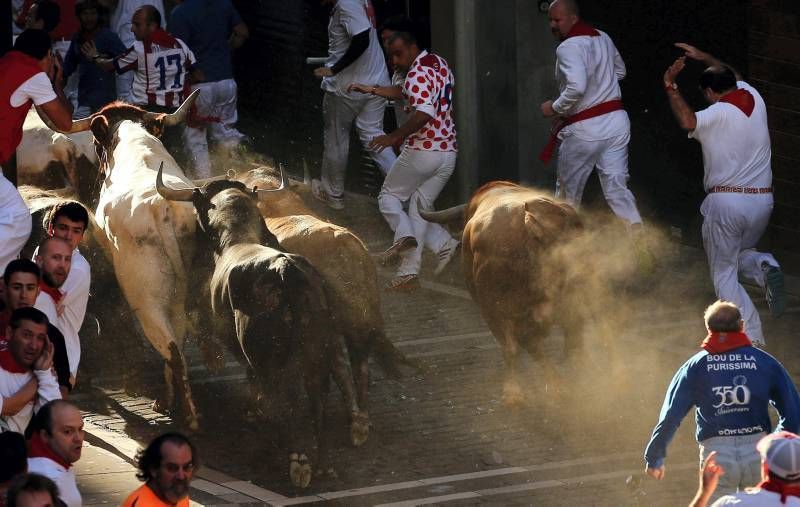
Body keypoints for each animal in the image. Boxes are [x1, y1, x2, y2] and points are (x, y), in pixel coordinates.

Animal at [159, 172, 372, 488]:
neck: (238, 240)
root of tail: (284, 271)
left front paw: (255, 412)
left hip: (274, 358)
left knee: (289, 398)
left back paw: (298, 460)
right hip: (315, 351)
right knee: (319, 395)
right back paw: (324, 462)